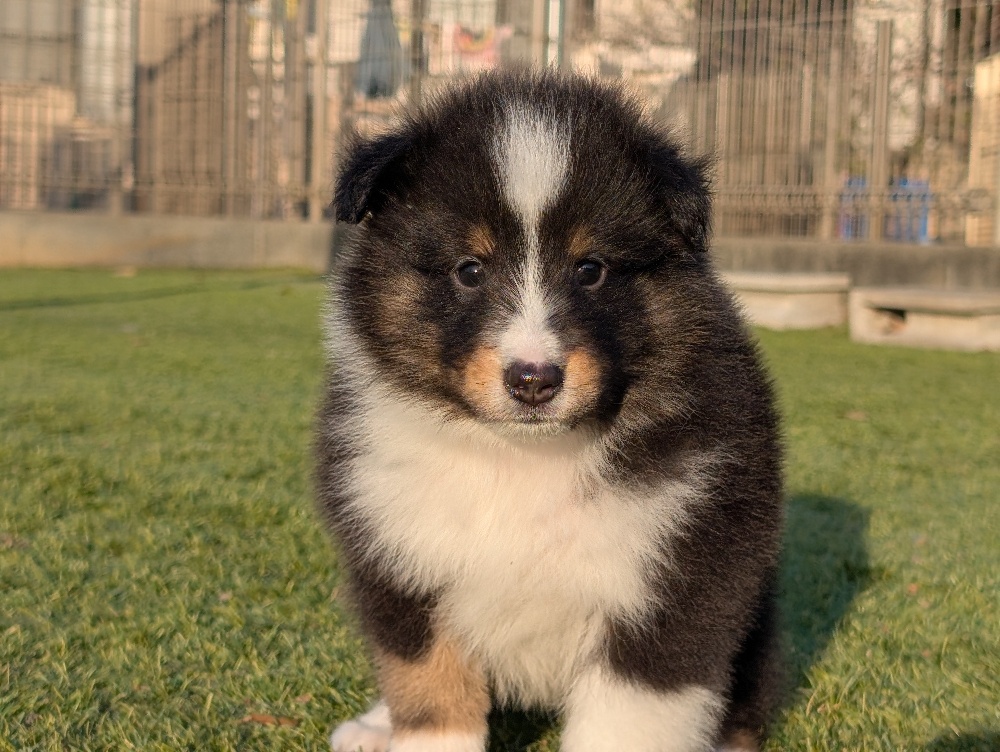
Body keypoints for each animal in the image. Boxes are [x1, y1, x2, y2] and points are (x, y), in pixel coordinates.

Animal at [315, 69, 783, 752]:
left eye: (590, 269)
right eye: (469, 270)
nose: (533, 380)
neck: (523, 457)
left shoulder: (678, 582)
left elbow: (625, 723)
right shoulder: (400, 563)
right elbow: (432, 692)